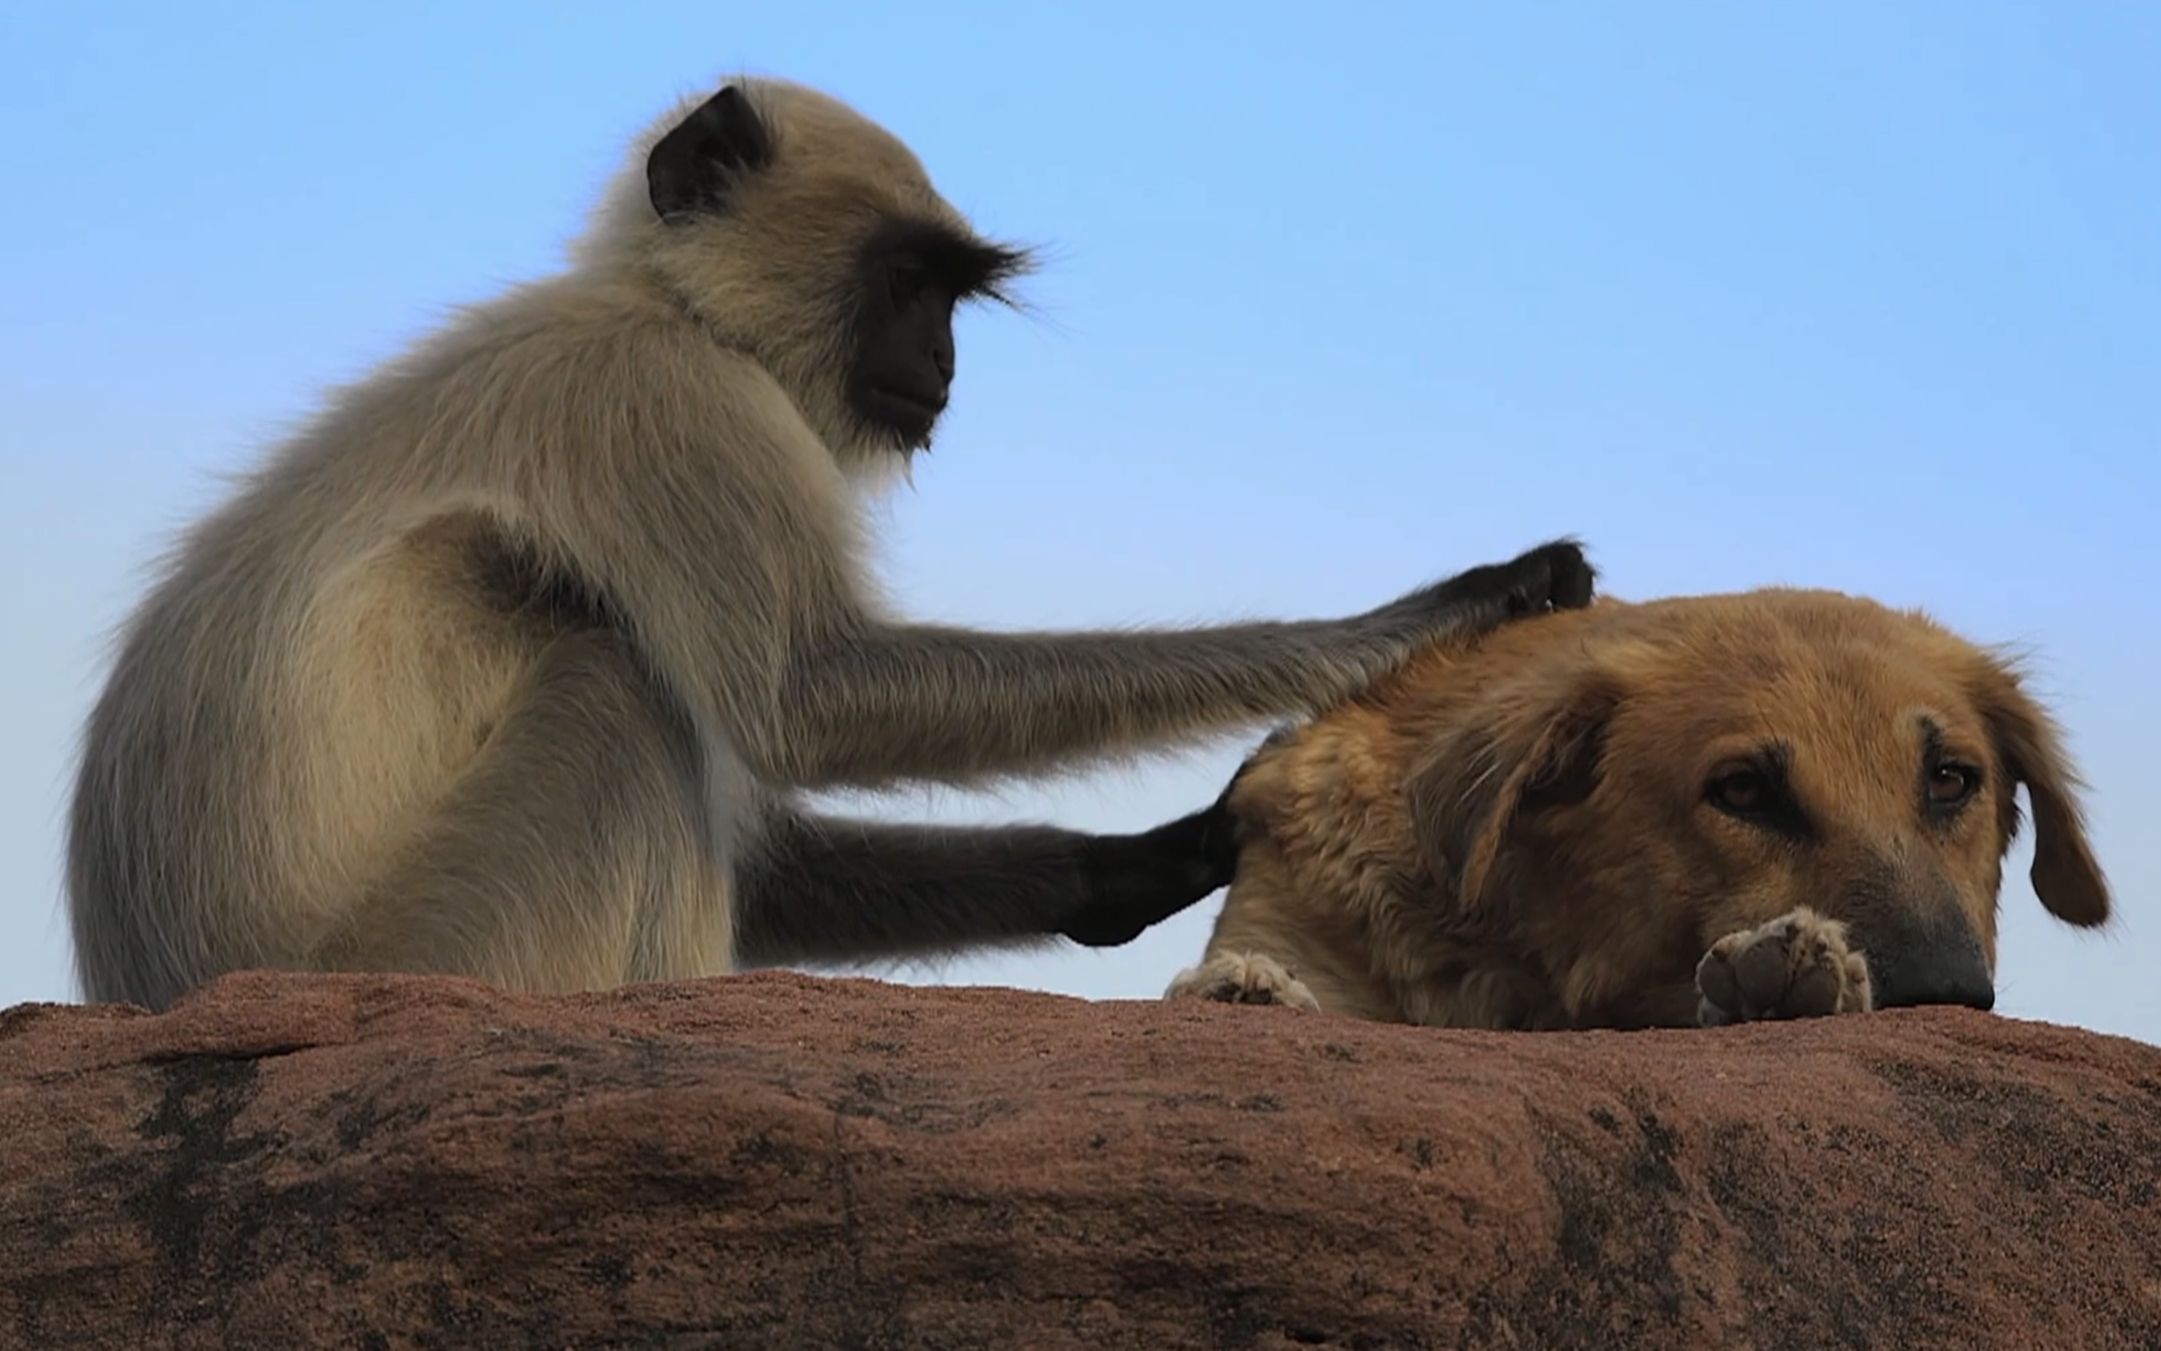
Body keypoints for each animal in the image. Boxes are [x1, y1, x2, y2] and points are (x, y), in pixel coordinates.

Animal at [59, 71, 1599, 1002]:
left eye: (952, 299)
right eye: (909, 282)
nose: (943, 364)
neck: (668, 307)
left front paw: (1166, 855)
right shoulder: (678, 404)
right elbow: (809, 701)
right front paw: (1438, 609)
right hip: (430, 951)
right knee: (621, 691)